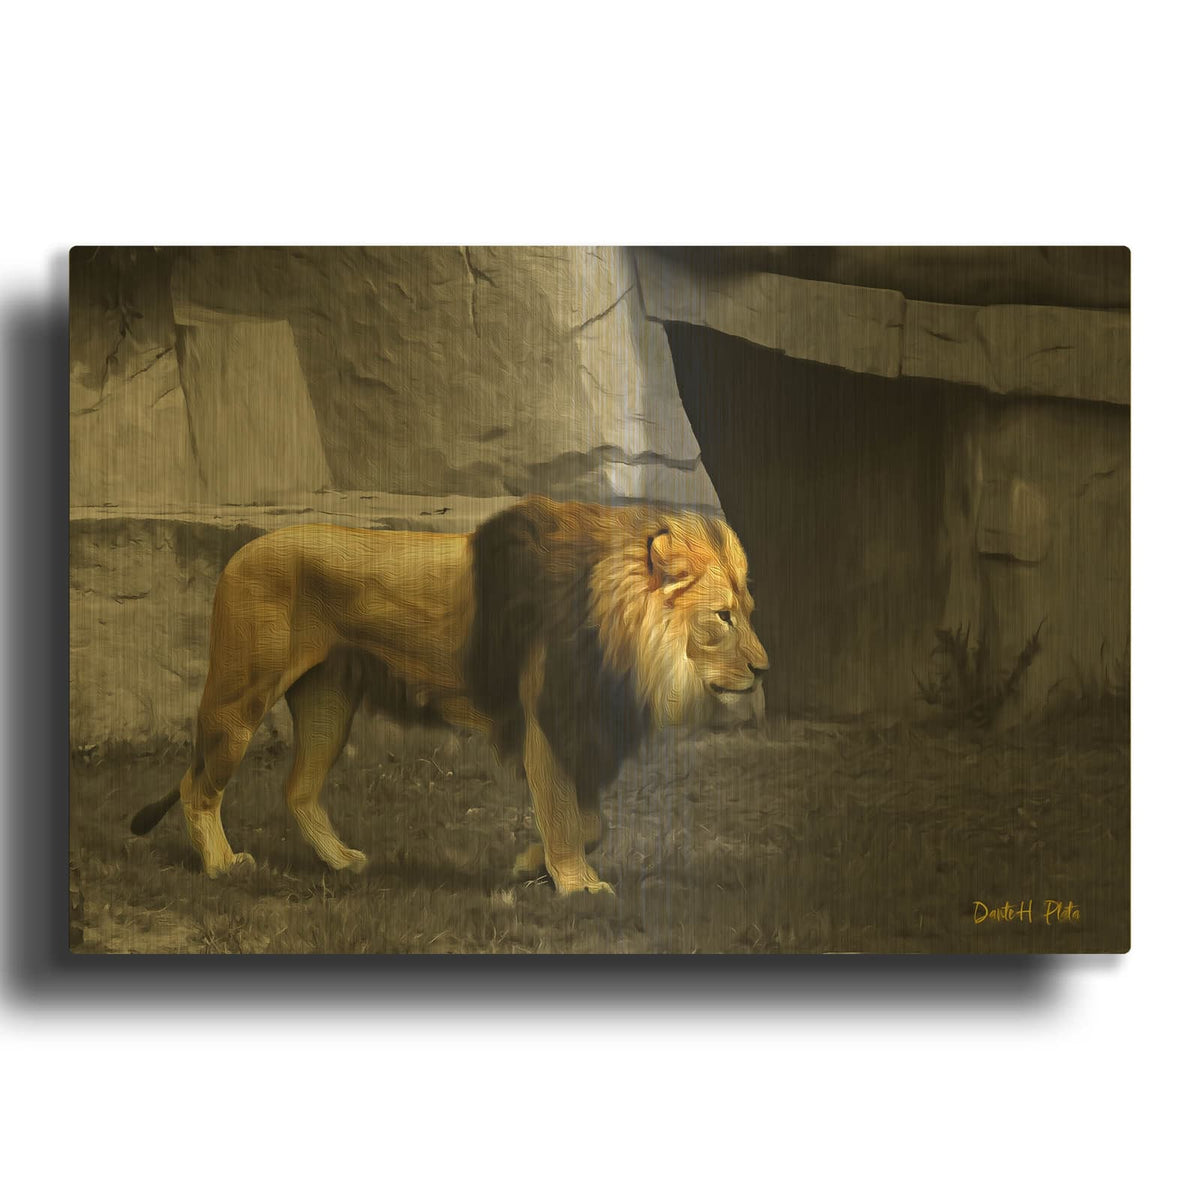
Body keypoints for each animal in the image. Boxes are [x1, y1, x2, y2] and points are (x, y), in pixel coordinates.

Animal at [129, 496, 768, 895]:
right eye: (722, 616)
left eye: (747, 612)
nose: (764, 670)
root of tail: (237, 555)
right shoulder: (548, 722)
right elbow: (566, 815)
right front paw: (576, 886)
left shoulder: (582, 730)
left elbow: (591, 824)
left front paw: (530, 866)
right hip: (240, 699)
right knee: (196, 787)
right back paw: (221, 866)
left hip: (328, 704)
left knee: (297, 789)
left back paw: (342, 862)